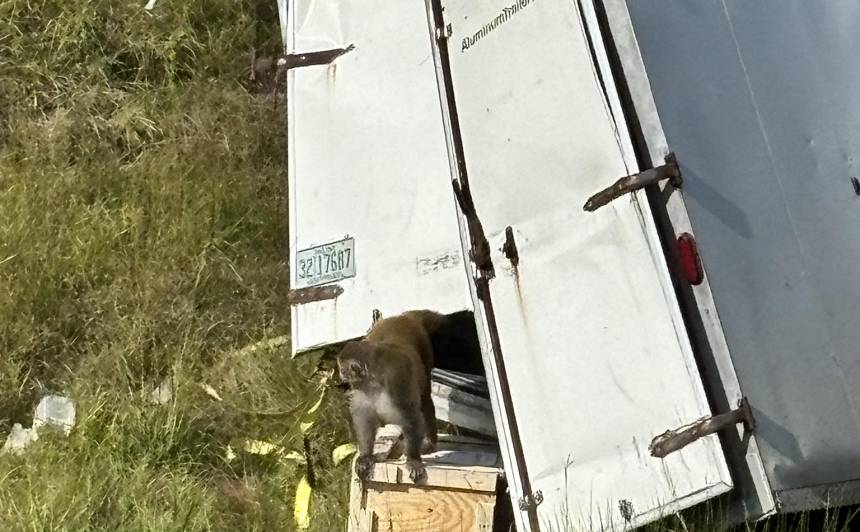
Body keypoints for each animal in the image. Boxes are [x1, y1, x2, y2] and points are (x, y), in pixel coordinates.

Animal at [337, 310, 446, 483]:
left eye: (343, 369)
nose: (340, 374)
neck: (374, 383)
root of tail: (404, 317)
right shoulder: (362, 392)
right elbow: (365, 420)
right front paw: (366, 456)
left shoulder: (397, 382)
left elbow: (411, 418)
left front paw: (413, 460)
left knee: (424, 399)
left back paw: (429, 442)